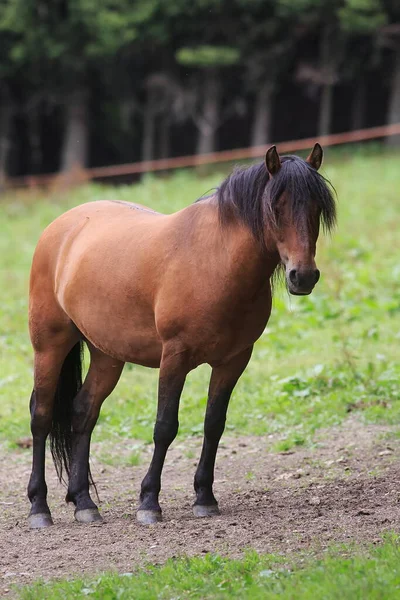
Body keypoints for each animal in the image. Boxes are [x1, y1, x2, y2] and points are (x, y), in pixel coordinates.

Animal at [26, 145, 336, 528]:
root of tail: (61, 226)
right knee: (41, 415)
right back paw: (39, 507)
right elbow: (165, 426)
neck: (217, 261)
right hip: (49, 345)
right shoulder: (174, 357)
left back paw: (84, 503)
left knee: (83, 412)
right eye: (276, 206)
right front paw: (148, 503)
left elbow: (214, 424)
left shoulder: (233, 361)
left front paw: (205, 497)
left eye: (317, 208)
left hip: (107, 355)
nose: (303, 276)